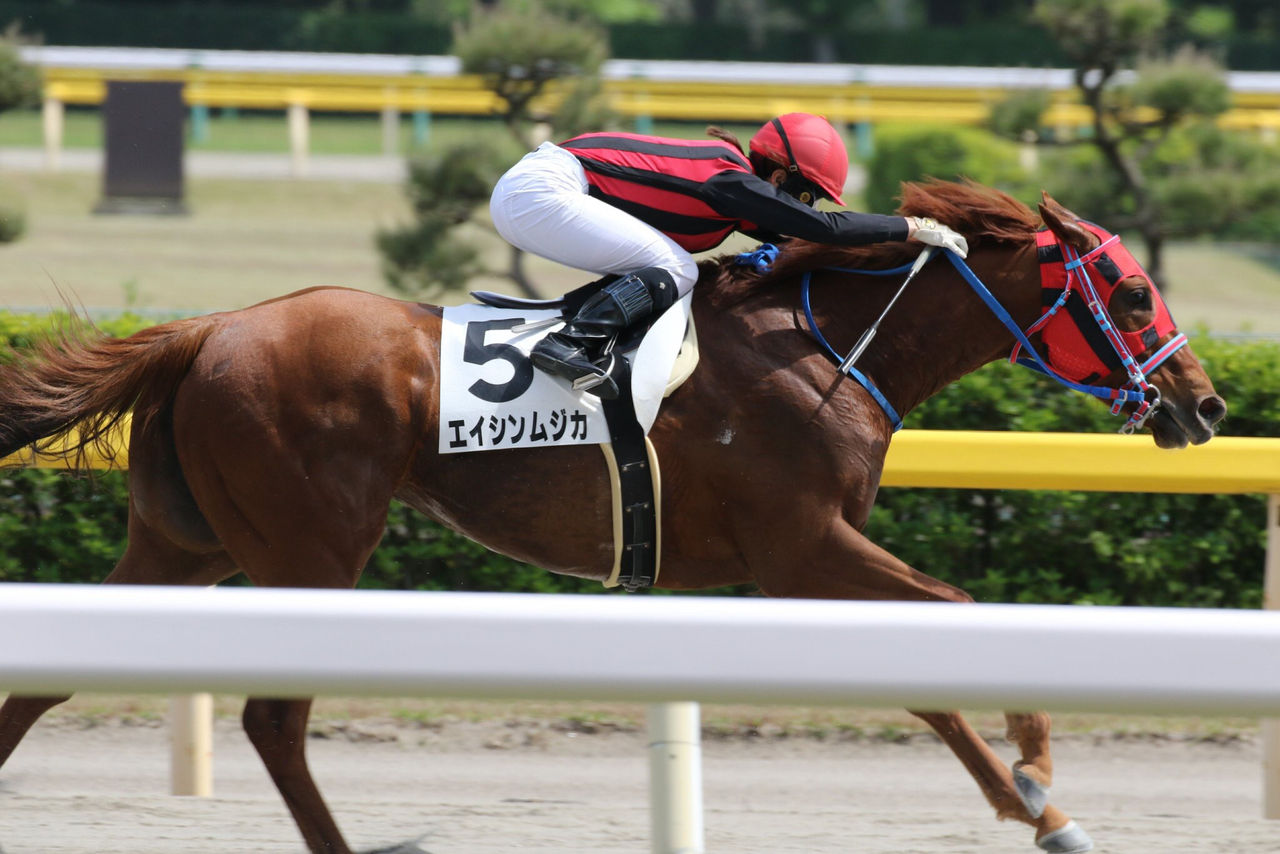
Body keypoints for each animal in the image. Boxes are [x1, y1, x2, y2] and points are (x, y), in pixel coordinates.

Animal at [0, 181, 1226, 854]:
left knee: (47, 680)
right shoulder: (802, 548)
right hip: (309, 552)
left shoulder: (808, 557)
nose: (1202, 403)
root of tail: (205, 330)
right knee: (273, 722)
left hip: (186, 542)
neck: (825, 346)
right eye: (1128, 294)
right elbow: (954, 628)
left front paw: (1038, 792)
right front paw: (1041, 791)